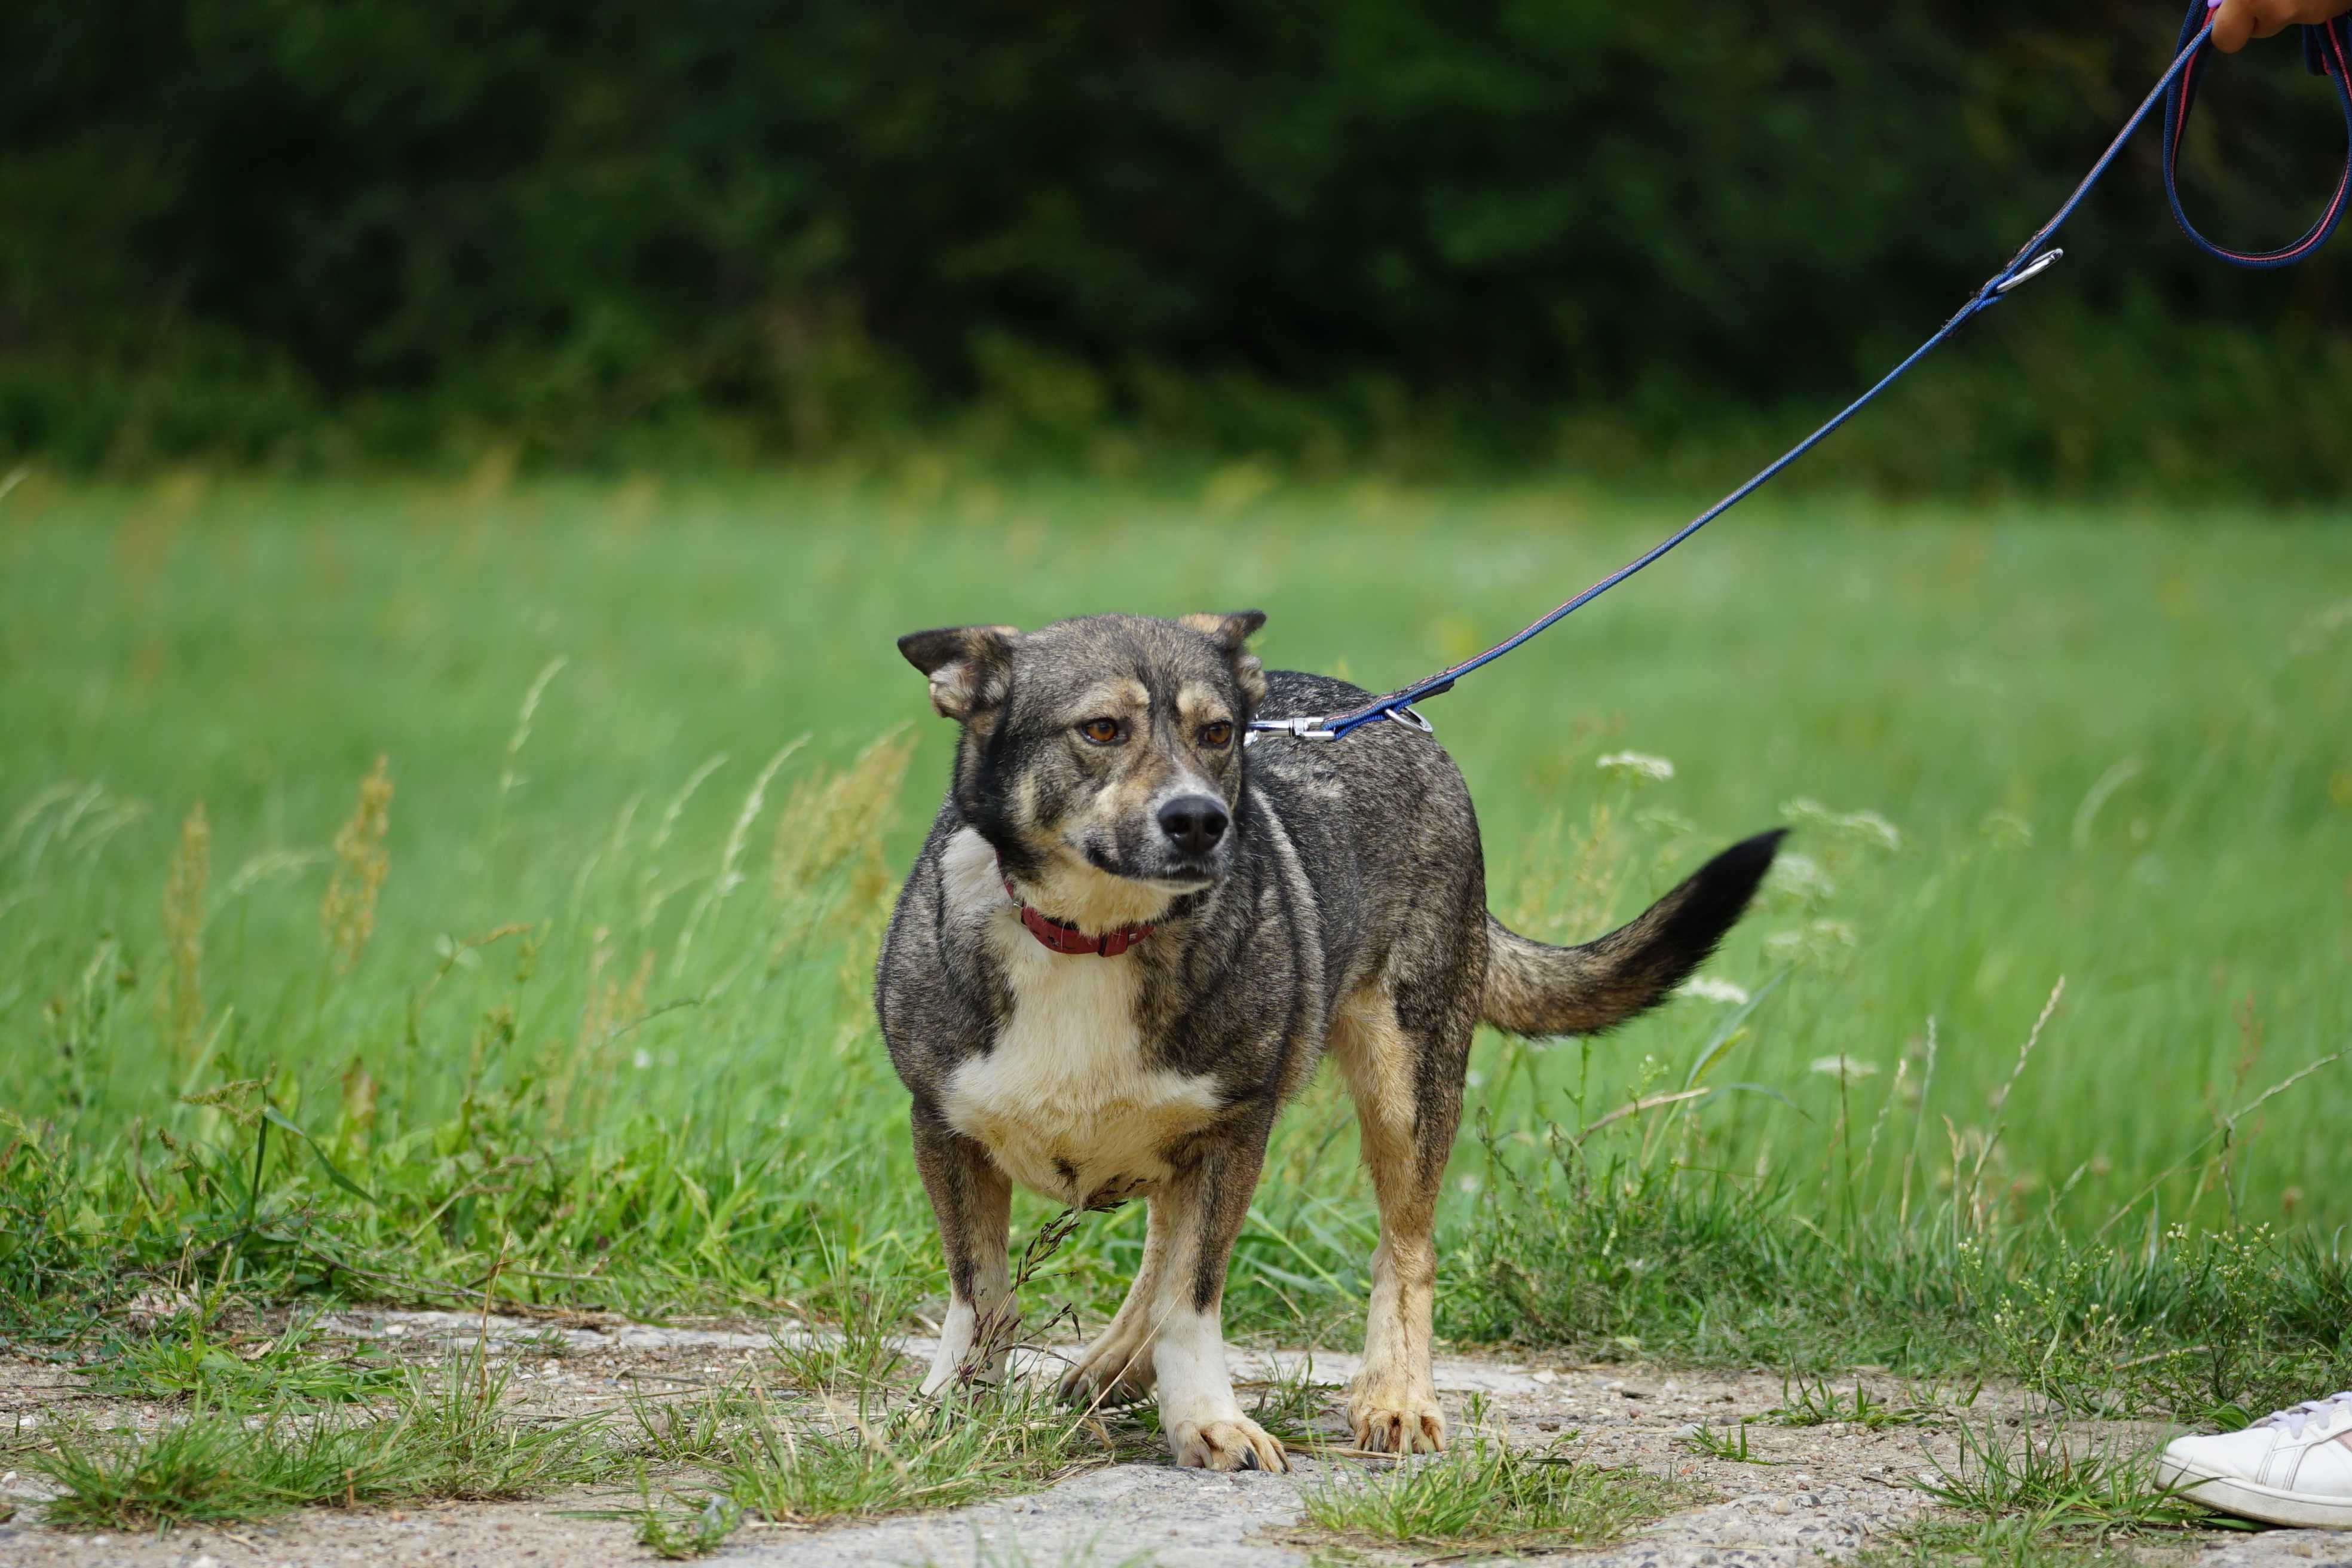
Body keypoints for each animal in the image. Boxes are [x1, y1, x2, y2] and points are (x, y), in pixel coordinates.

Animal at [875, 611, 1768, 1476]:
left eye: (1217, 733)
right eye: (1100, 728)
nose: (1200, 820)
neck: (1096, 933)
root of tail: (1390, 709)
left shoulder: (1234, 1126)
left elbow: (1193, 1298)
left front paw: (1207, 1419)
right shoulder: (944, 1126)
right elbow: (984, 1296)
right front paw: (952, 1410)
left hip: (1407, 1079)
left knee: (1404, 1247)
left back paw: (1396, 1396)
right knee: (1159, 1246)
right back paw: (1117, 1364)